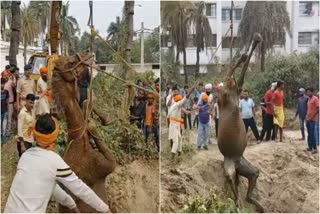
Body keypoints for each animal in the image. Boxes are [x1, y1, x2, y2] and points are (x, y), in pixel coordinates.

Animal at [52, 50, 117, 212]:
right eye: (70, 62)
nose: (88, 53)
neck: (78, 140)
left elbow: (87, 101)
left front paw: (105, 119)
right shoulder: (104, 166)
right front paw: (96, 122)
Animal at [218, 33, 264, 212]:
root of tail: (235, 162)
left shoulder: (234, 90)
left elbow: (240, 77)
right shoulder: (225, 93)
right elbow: (236, 74)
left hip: (243, 164)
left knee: (254, 173)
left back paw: (254, 203)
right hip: (230, 164)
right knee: (230, 179)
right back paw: (238, 204)